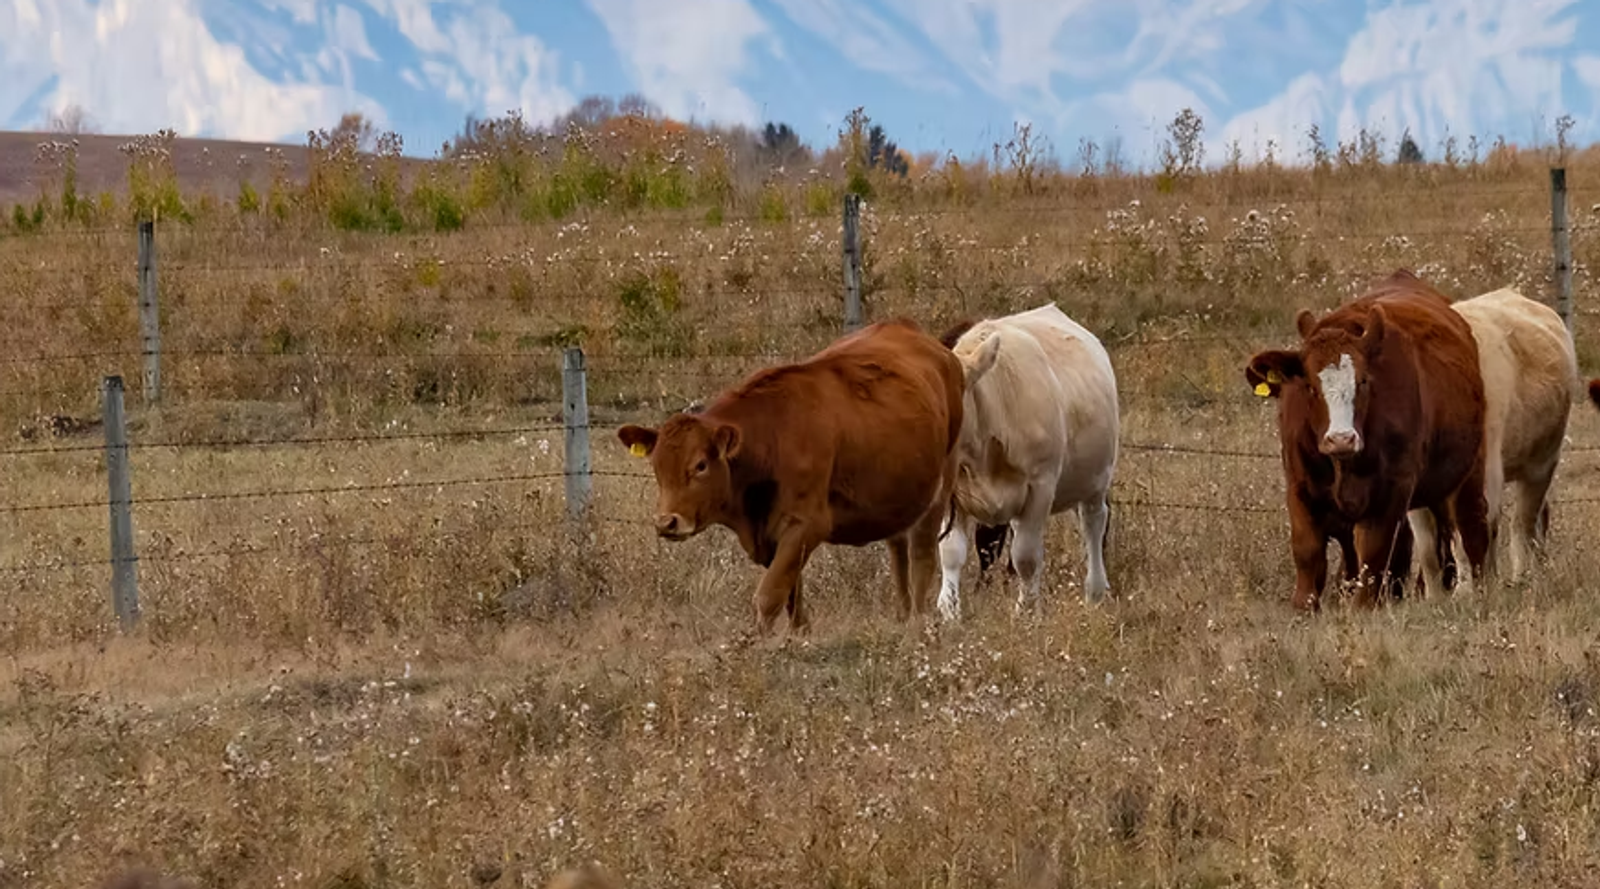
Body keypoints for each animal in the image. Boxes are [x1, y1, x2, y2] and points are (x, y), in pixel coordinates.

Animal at [617, 317, 964, 634]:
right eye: (657, 465)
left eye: (700, 465)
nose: (667, 522)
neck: (772, 436)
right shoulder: (773, 534)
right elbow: (790, 592)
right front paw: (799, 634)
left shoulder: (806, 524)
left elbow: (769, 594)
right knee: (898, 550)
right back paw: (903, 615)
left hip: (940, 486)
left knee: (922, 555)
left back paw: (917, 622)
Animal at [934, 303, 1120, 621]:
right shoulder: (953, 494)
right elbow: (951, 552)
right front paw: (949, 611)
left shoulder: (1040, 486)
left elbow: (1026, 556)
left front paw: (1027, 609)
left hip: (1096, 478)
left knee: (1094, 524)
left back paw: (1095, 590)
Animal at [1245, 269, 1491, 610]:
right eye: (1310, 386)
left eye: (1363, 381)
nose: (1341, 439)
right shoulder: (1299, 486)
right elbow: (1308, 553)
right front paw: (1304, 607)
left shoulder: (1390, 492)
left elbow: (1373, 558)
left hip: (1465, 477)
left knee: (1469, 526)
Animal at [1406, 286, 1578, 594]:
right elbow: (1427, 549)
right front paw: (1436, 597)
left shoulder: (1481, 475)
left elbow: (1467, 536)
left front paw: (1467, 592)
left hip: (1540, 465)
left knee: (1522, 524)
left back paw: (1522, 576)